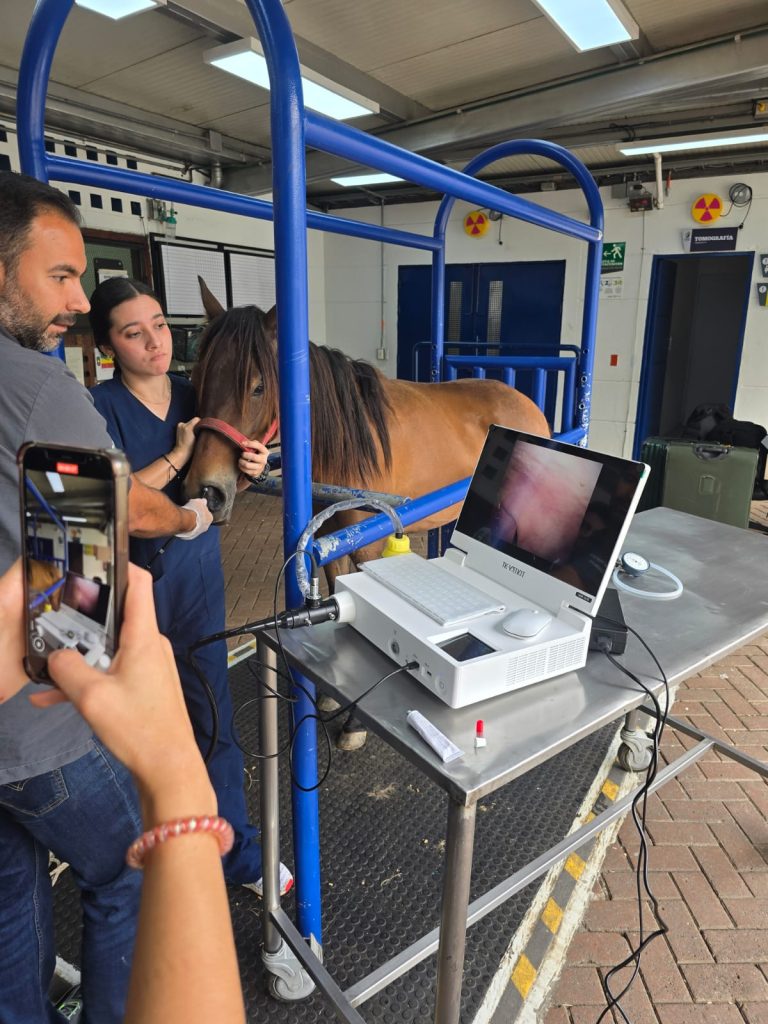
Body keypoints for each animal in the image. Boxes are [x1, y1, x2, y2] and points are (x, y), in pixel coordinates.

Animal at [185, 286, 550, 588]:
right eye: (196, 377)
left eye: (258, 387)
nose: (207, 491)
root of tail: (529, 406)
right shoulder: (328, 542)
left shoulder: (368, 549)